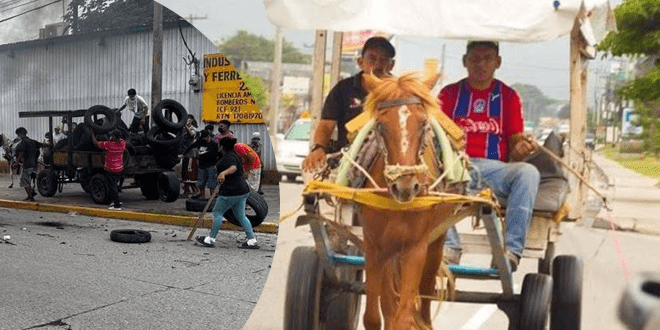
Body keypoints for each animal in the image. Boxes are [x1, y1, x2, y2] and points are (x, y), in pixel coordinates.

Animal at [356, 73, 464, 330]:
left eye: (424, 124)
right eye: (381, 125)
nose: (405, 186)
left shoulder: (416, 247)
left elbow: (403, 318)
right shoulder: (374, 245)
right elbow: (374, 316)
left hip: (435, 245)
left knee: (424, 297)